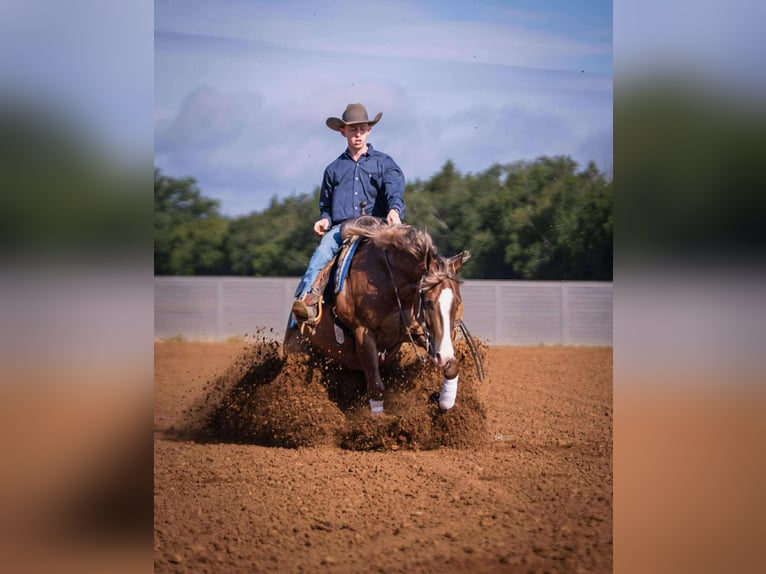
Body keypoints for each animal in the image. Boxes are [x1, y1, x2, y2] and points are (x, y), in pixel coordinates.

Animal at [283, 216, 474, 414]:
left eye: (457, 303)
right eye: (428, 301)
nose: (443, 355)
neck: (388, 283)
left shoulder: (418, 332)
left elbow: (452, 367)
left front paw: (444, 402)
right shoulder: (363, 334)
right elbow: (376, 387)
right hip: (299, 350)